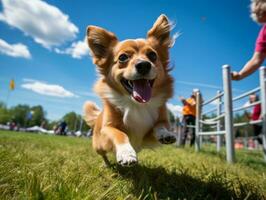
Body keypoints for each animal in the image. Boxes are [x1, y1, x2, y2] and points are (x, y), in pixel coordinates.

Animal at [84, 14, 176, 166]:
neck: (137, 104)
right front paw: (126, 153)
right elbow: (119, 134)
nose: (144, 65)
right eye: (123, 57)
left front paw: (166, 134)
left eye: (153, 55)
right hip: (98, 145)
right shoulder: (108, 128)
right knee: (103, 154)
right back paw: (107, 164)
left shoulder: (152, 129)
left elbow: (159, 125)